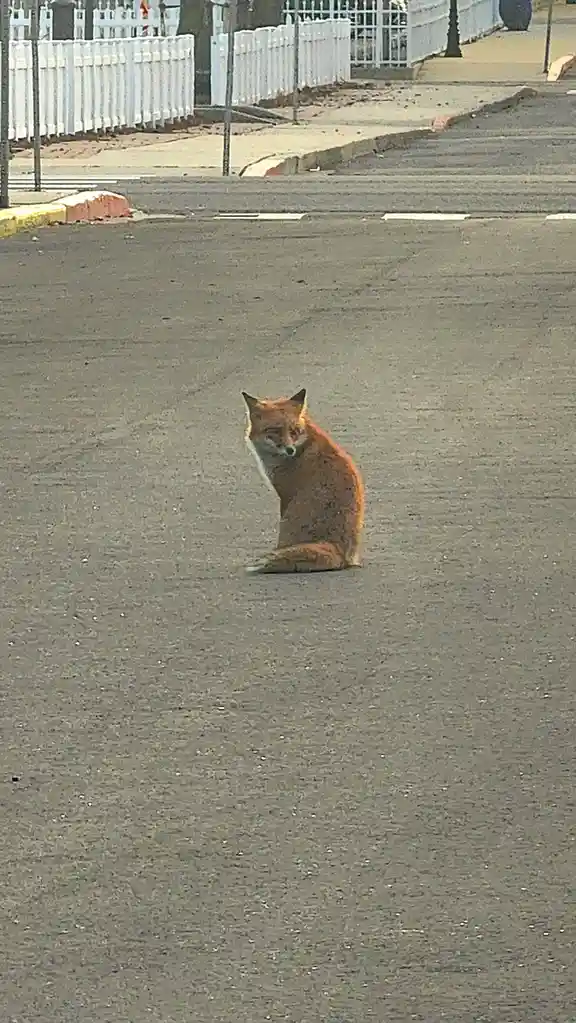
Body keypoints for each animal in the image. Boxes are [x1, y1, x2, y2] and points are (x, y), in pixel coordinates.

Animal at [241, 387, 364, 574]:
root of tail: (339, 552)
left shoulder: (285, 495)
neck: (304, 441)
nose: (290, 450)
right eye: (275, 430)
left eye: (293, 431)